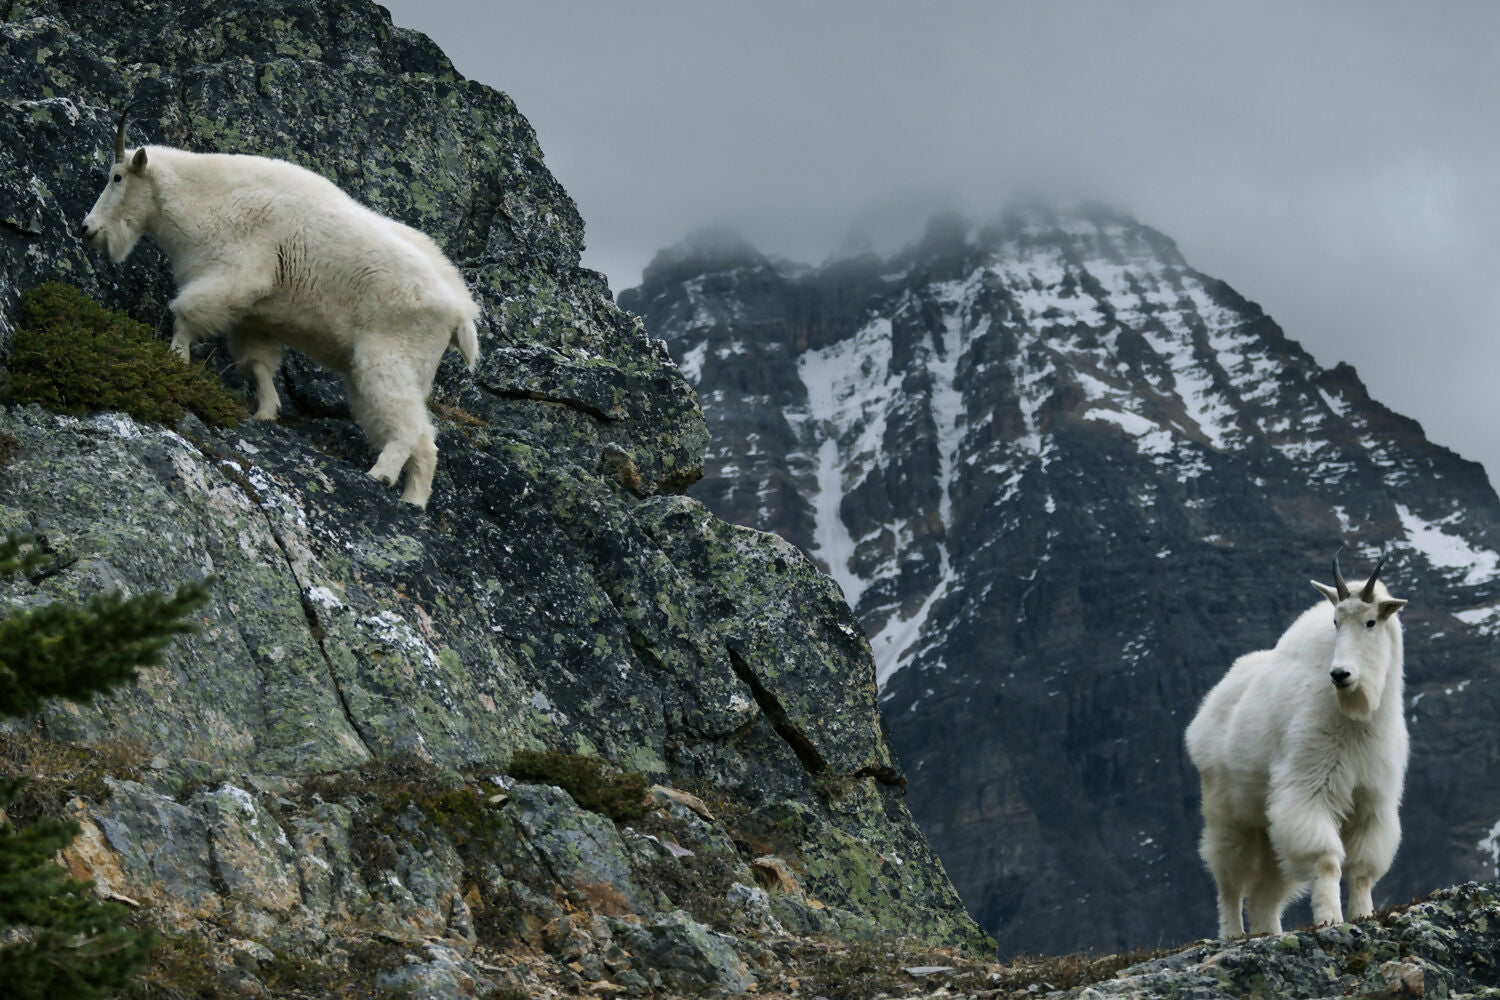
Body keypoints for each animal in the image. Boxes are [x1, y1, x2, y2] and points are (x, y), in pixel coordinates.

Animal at [79, 111, 477, 509]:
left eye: (117, 177)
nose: (87, 229)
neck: (208, 199)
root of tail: (462, 312)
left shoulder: (234, 277)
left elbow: (185, 316)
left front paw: (176, 361)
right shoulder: (254, 315)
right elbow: (258, 363)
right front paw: (266, 413)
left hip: (388, 357)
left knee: (408, 425)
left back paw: (380, 473)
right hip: (405, 370)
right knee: (425, 440)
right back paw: (413, 499)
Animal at [1182, 554, 1404, 941]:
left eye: (1371, 622)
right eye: (1335, 621)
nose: (1340, 674)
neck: (1356, 716)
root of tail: (1207, 708)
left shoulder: (1372, 800)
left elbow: (1362, 869)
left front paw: (1363, 915)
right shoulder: (1311, 786)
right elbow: (1327, 860)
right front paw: (1330, 918)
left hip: (1266, 826)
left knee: (1264, 894)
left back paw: (1269, 932)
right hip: (1229, 816)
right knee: (1230, 881)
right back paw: (1233, 933)